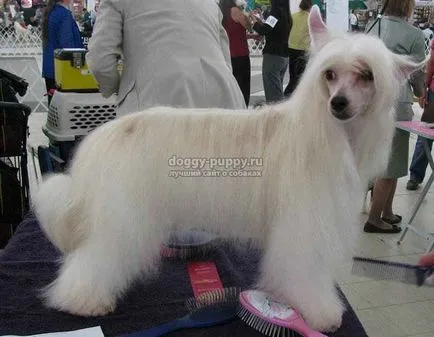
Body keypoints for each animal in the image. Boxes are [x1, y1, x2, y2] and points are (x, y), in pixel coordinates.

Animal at [33, 6, 424, 332]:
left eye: (366, 75)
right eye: (330, 74)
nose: (338, 103)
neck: (326, 131)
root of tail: (104, 136)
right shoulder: (303, 227)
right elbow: (305, 273)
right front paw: (318, 311)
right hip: (124, 218)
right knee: (95, 259)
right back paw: (82, 301)